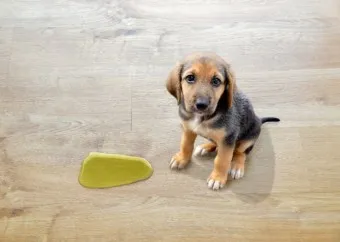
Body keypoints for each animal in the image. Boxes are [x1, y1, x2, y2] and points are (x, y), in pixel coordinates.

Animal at [165, 52, 278, 190]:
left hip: (249, 137)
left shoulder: (228, 138)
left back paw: (236, 166)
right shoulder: (188, 129)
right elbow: (185, 145)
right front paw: (181, 159)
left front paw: (217, 178)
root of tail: (259, 119)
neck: (202, 117)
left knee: (241, 152)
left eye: (216, 81)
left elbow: (222, 160)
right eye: (190, 78)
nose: (201, 105)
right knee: (216, 142)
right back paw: (206, 147)